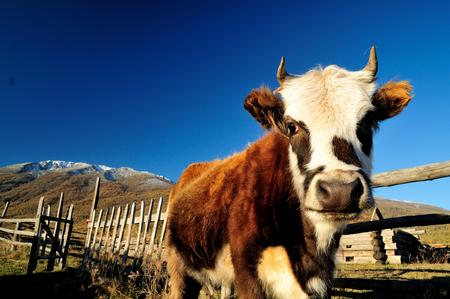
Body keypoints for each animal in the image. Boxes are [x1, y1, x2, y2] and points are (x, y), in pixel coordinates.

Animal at [165, 48, 412, 298]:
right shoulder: (247, 273)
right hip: (179, 267)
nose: (339, 190)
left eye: (368, 122)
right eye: (291, 126)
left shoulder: (321, 280)